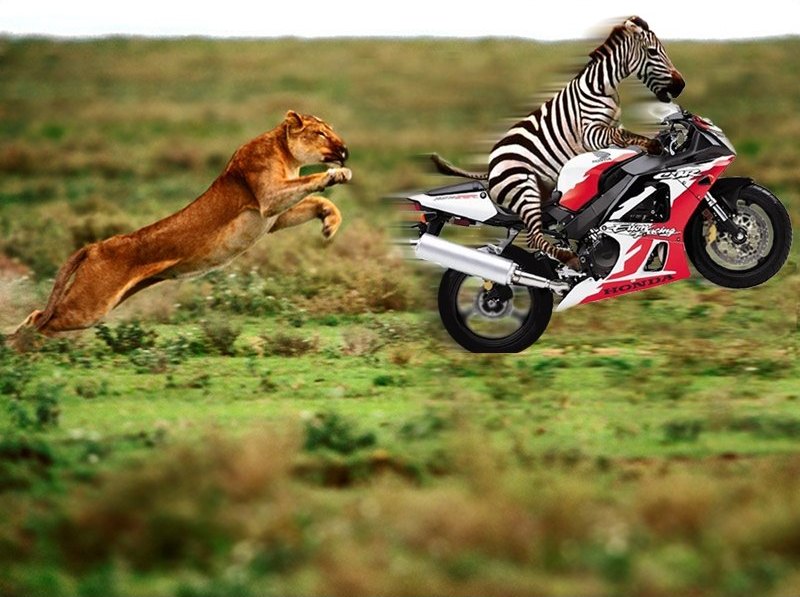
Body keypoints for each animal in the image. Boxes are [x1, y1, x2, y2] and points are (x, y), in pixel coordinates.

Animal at [432, 17, 685, 270]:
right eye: (653, 52)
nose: (681, 85)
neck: (602, 87)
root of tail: (490, 168)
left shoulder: (607, 130)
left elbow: (621, 138)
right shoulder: (590, 132)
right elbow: (620, 134)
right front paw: (654, 146)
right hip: (525, 186)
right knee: (534, 236)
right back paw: (569, 259)